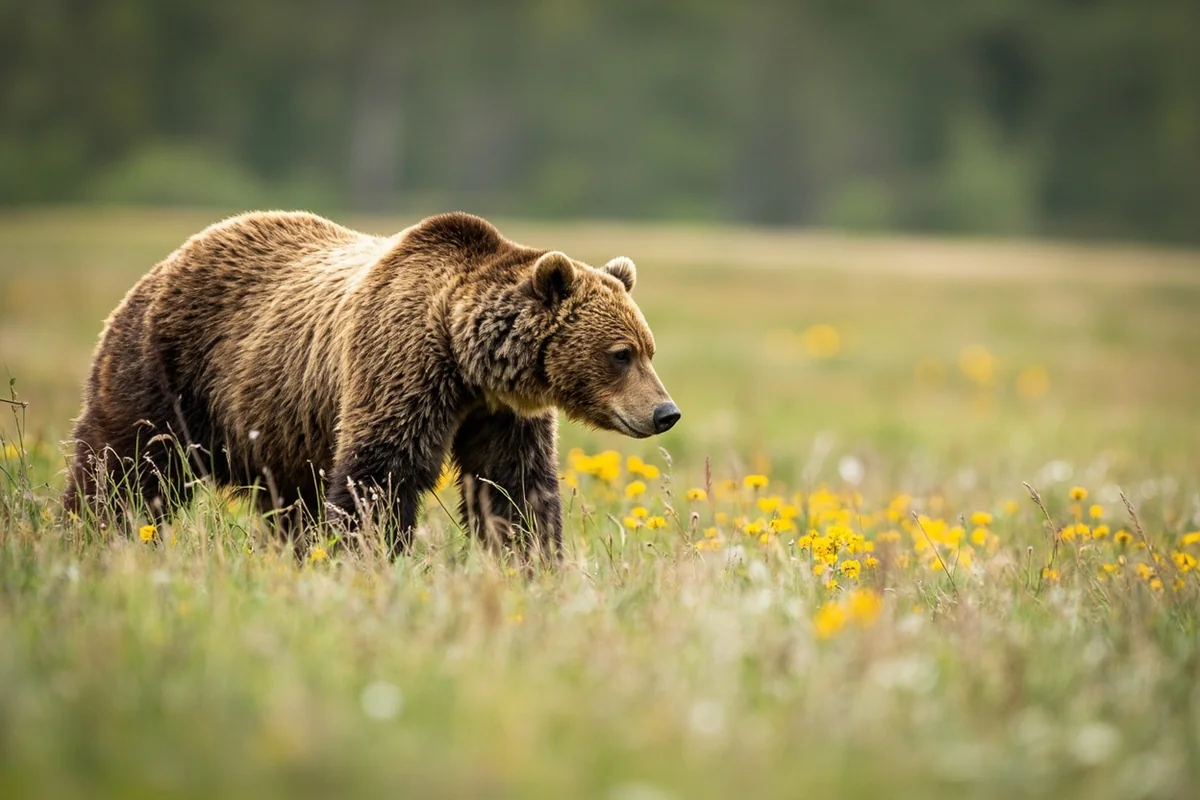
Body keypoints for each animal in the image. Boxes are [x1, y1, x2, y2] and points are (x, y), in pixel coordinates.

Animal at [63, 211, 680, 558]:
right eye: (621, 354)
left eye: (649, 349)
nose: (665, 412)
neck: (464, 359)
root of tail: (171, 258)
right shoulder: (398, 366)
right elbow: (381, 474)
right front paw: (370, 557)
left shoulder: (500, 413)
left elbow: (513, 485)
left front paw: (530, 561)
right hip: (165, 368)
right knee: (126, 466)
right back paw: (91, 531)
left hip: (280, 427)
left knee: (290, 504)